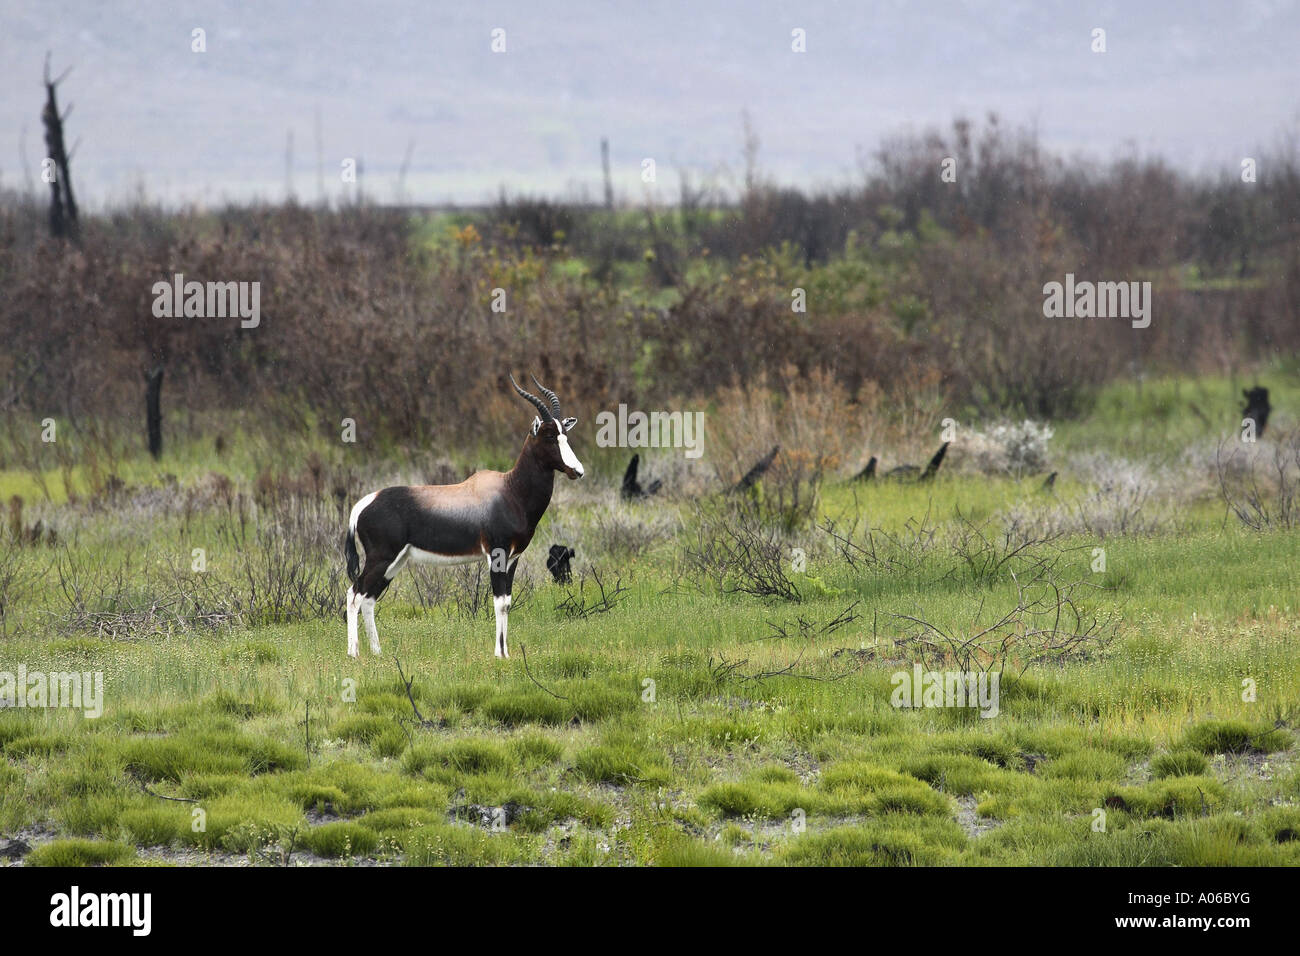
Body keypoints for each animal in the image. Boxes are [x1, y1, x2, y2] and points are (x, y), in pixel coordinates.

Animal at [348, 374, 587, 658]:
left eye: (565, 434)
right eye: (549, 436)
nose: (577, 471)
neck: (510, 489)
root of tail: (364, 503)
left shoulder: (513, 559)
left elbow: (507, 601)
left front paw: (506, 653)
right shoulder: (497, 554)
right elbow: (499, 602)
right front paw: (499, 655)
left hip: (395, 562)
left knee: (369, 598)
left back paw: (377, 652)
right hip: (381, 558)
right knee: (354, 593)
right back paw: (353, 654)